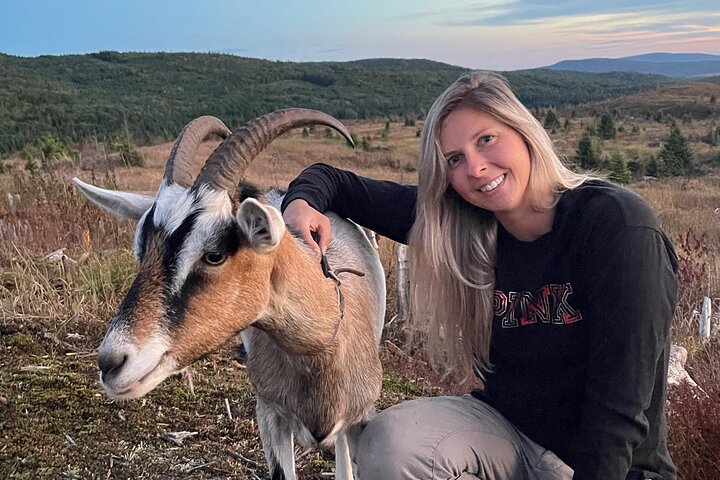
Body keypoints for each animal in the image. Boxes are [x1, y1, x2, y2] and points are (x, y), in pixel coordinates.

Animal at [73, 110, 386, 480]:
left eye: (215, 254)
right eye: (142, 248)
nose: (111, 362)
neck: (325, 341)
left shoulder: (359, 421)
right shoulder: (269, 413)